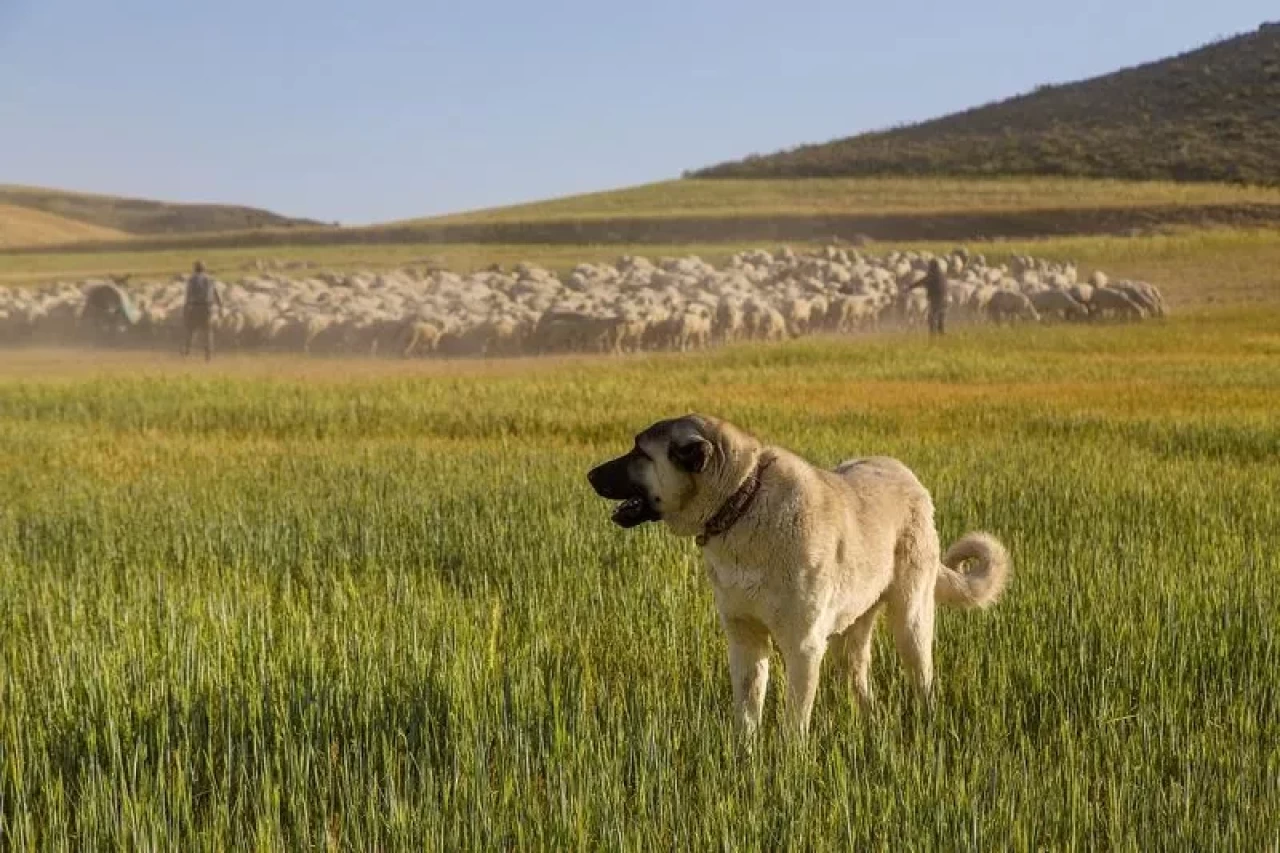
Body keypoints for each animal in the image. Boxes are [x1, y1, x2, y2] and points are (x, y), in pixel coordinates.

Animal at [586, 412, 1008, 732]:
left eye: (639, 451)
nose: (589, 475)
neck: (741, 501)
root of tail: (907, 474)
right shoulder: (745, 641)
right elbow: (747, 715)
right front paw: (745, 763)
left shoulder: (803, 647)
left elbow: (794, 724)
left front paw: (791, 770)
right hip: (852, 631)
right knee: (860, 677)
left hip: (910, 619)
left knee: (923, 678)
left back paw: (926, 723)